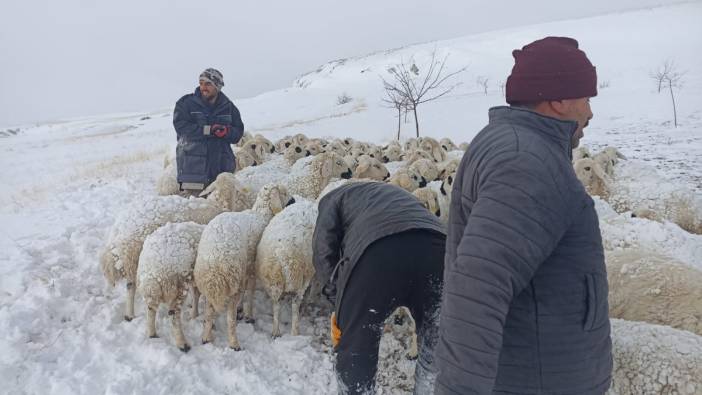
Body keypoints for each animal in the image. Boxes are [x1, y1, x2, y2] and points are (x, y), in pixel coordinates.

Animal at [136, 223, 204, 352]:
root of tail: (154, 272)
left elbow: (196, 294)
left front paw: (194, 313)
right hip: (178, 288)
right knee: (174, 316)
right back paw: (182, 343)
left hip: (152, 291)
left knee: (151, 310)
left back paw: (152, 334)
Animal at [194, 185, 292, 350]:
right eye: (284, 193)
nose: (293, 201)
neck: (261, 215)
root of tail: (215, 264)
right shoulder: (251, 267)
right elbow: (250, 292)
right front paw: (248, 314)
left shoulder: (245, 271)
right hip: (233, 280)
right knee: (230, 317)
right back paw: (234, 343)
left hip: (209, 284)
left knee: (209, 312)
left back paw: (207, 337)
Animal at [256, 200, 320, 338]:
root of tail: (283, 256)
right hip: (299, 280)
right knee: (295, 306)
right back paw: (295, 332)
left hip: (273, 283)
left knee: (276, 305)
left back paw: (276, 332)